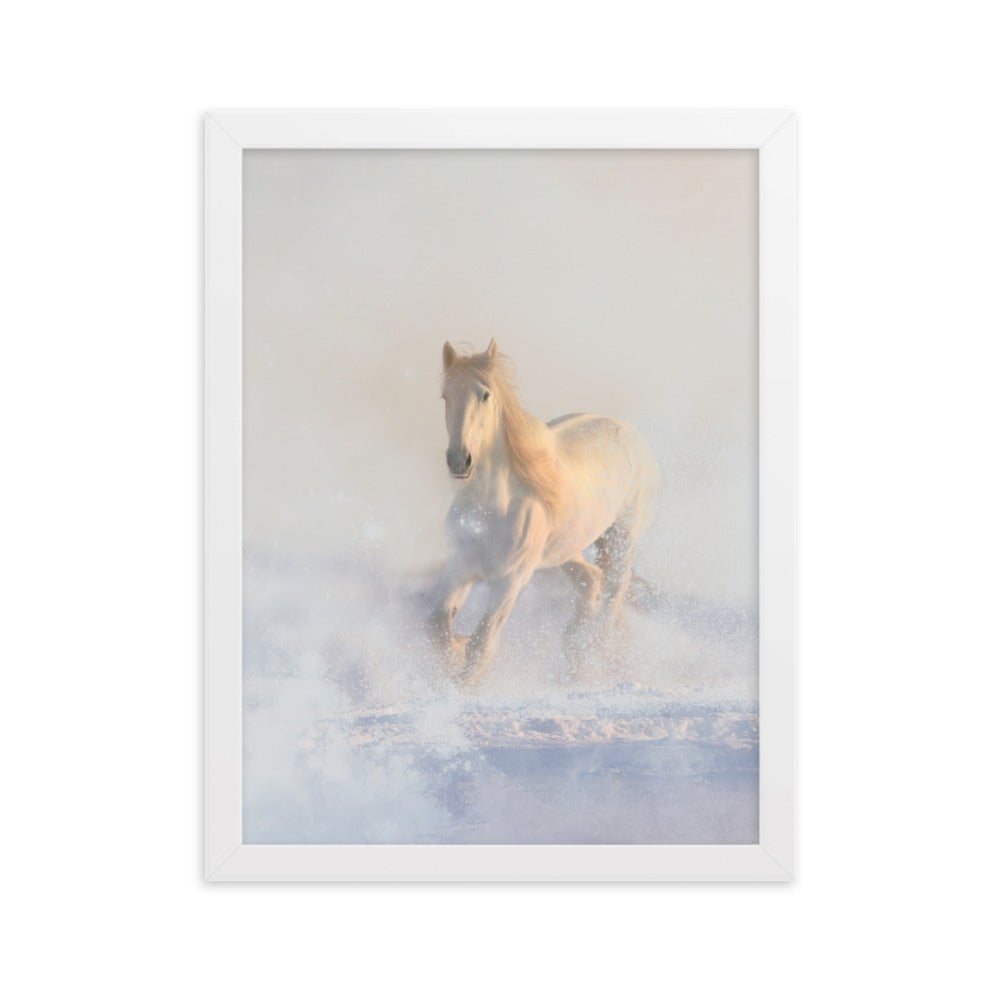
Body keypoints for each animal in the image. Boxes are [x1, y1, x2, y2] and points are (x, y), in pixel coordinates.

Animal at [429, 339, 660, 684]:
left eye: (485, 394)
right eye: (446, 395)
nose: (459, 460)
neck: (492, 509)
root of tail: (631, 434)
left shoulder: (510, 581)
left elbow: (481, 646)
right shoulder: (460, 567)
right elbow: (438, 628)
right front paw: (453, 658)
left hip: (622, 540)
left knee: (611, 601)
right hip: (566, 550)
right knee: (592, 583)